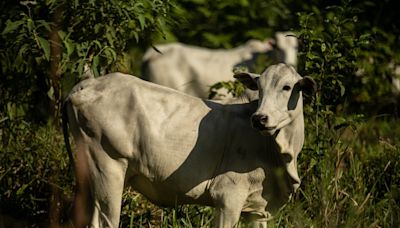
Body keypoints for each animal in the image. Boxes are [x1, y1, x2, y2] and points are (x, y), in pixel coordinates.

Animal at [63, 63, 316, 227]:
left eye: (287, 87)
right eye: (259, 87)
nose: (260, 118)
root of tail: (87, 84)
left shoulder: (259, 210)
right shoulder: (227, 198)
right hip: (108, 168)